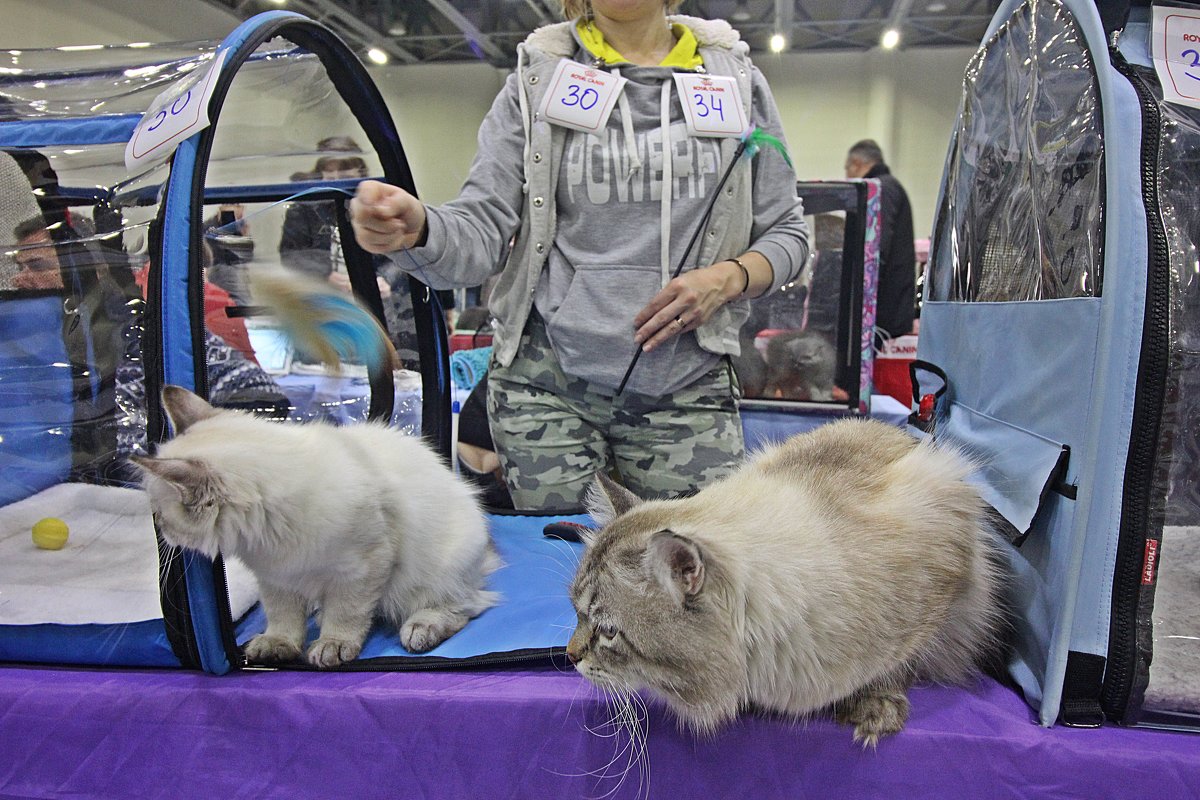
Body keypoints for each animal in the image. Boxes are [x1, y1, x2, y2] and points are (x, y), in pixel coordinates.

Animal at [133, 388, 499, 671]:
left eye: (159, 515)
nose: (161, 532)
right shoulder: (275, 578)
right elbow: (282, 617)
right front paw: (278, 644)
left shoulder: (363, 568)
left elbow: (347, 613)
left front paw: (332, 645)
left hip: (431, 579)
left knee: (464, 607)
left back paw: (420, 629)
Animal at [566, 417, 1008, 748]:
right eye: (576, 614)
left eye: (608, 632)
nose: (570, 657)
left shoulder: (939, 586)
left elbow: (896, 665)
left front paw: (874, 707)